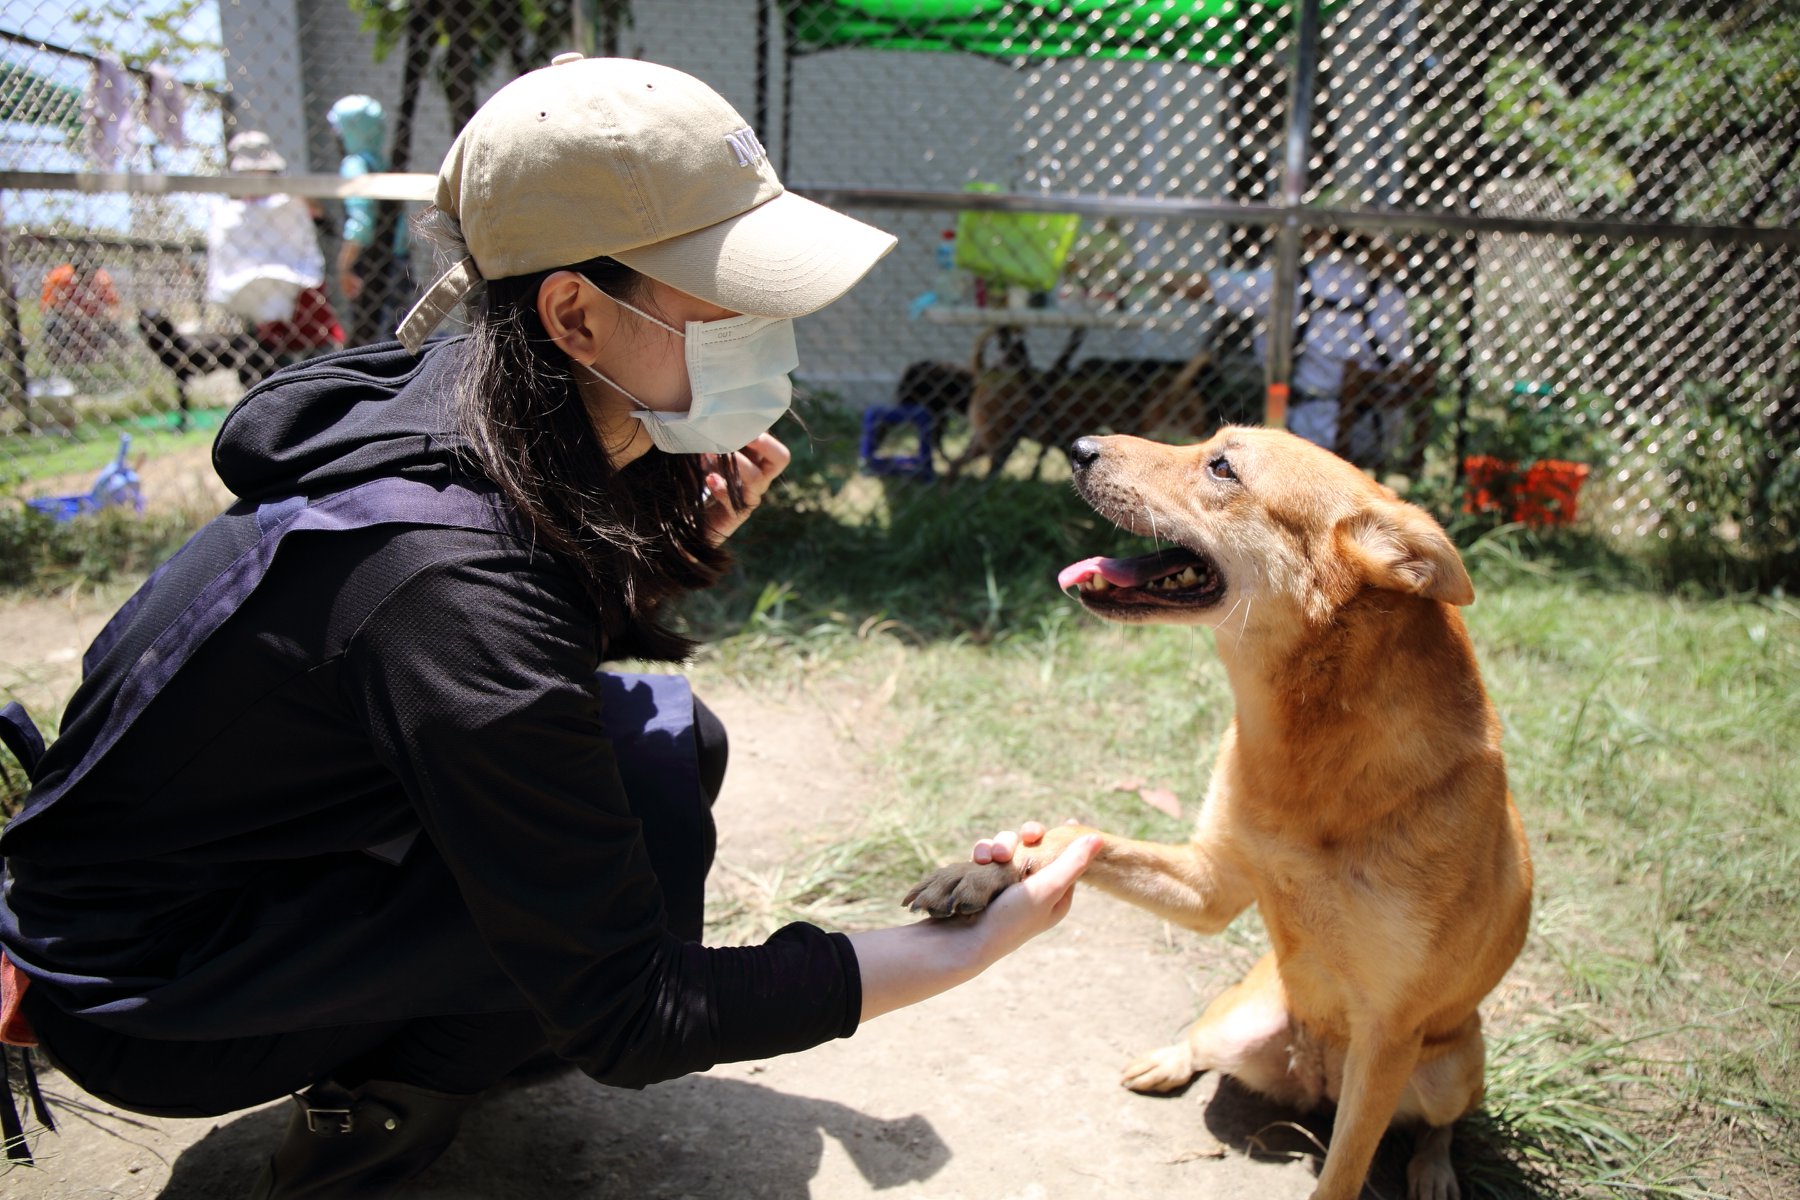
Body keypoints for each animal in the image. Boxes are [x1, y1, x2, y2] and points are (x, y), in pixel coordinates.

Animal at [907, 427, 1532, 1200]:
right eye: (1209, 442)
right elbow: (1080, 835)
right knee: (1204, 1042)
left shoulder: (1391, 1030)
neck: (1307, 757)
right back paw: (1168, 1060)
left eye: (1223, 466)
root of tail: (1318, 1077)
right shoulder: (1211, 885)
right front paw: (986, 869)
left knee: (1439, 1122)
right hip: (1238, 1025)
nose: (1078, 445)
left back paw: (1434, 1167)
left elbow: (1342, 1174)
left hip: (1447, 1067)